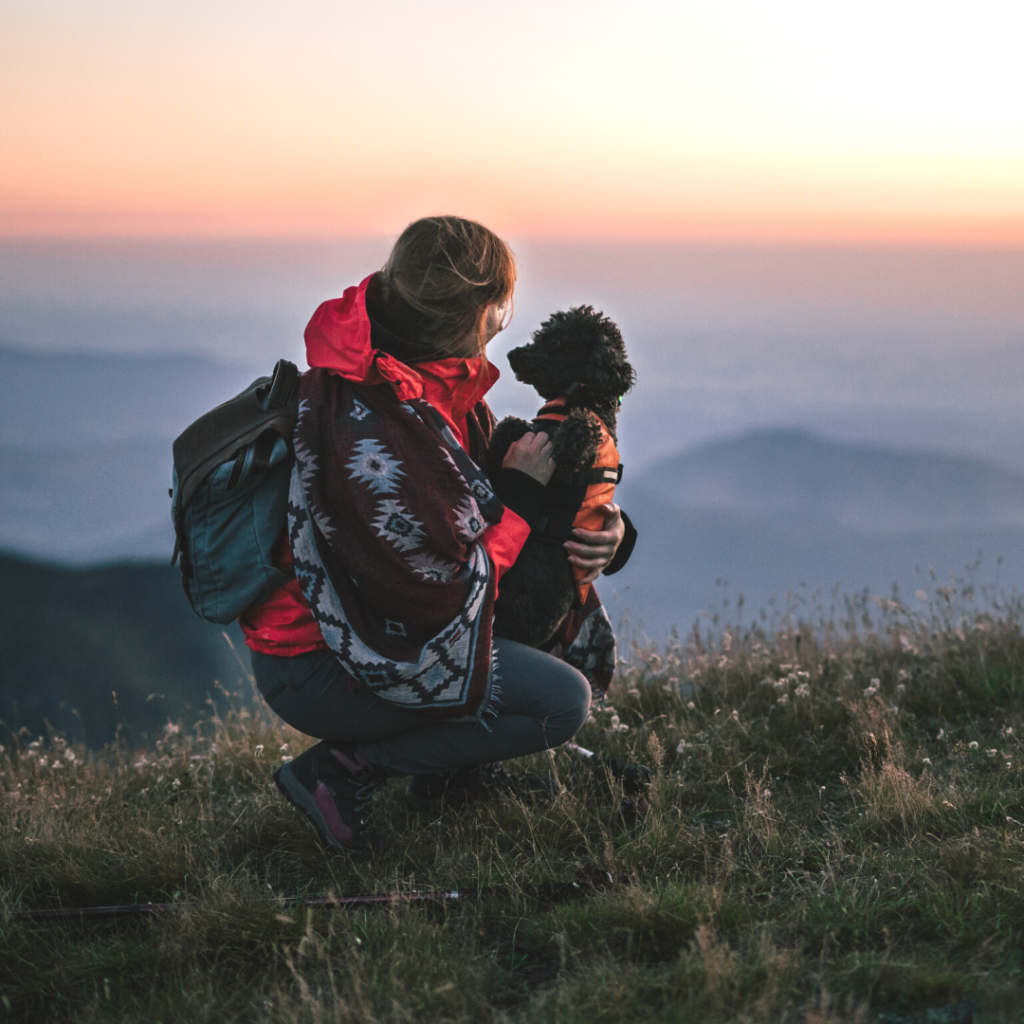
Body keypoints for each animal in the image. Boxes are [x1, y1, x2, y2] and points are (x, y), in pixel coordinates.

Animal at [485, 303, 630, 647]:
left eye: (556, 343)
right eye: (542, 334)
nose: (513, 355)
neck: (573, 400)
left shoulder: (590, 433)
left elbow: (584, 427)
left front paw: (568, 445)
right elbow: (512, 424)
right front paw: (500, 442)